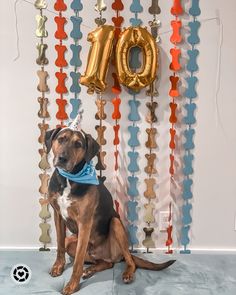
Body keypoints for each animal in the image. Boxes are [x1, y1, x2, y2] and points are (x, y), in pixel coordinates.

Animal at [45, 128, 175, 295]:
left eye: (78, 144)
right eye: (61, 139)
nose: (62, 158)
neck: (69, 178)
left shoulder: (85, 222)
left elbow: (78, 262)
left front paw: (72, 285)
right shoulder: (58, 215)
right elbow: (60, 246)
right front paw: (58, 266)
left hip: (116, 225)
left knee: (129, 261)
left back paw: (127, 274)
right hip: (76, 243)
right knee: (107, 263)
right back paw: (91, 269)